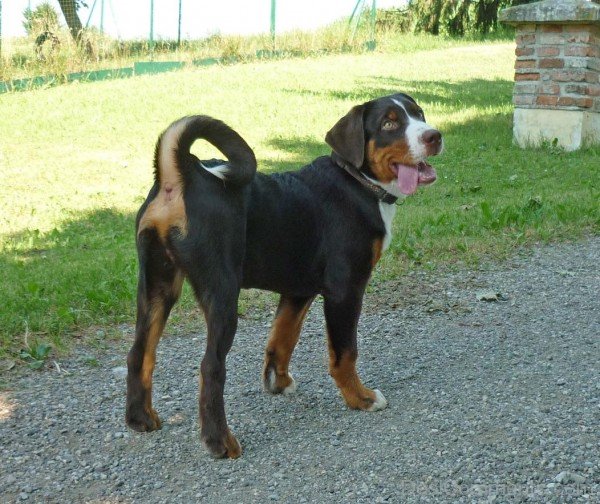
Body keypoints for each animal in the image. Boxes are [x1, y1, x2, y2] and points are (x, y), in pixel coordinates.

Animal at [126, 92, 442, 458]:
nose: (434, 136)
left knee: (139, 353)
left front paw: (278, 383)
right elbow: (344, 353)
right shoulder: (345, 289)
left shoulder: (298, 290)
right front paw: (360, 398)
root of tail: (182, 174)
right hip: (222, 292)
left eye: (419, 114)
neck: (357, 183)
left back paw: (140, 418)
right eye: (389, 123)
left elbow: (282, 338)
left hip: (157, 286)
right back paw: (220, 442)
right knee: (210, 367)